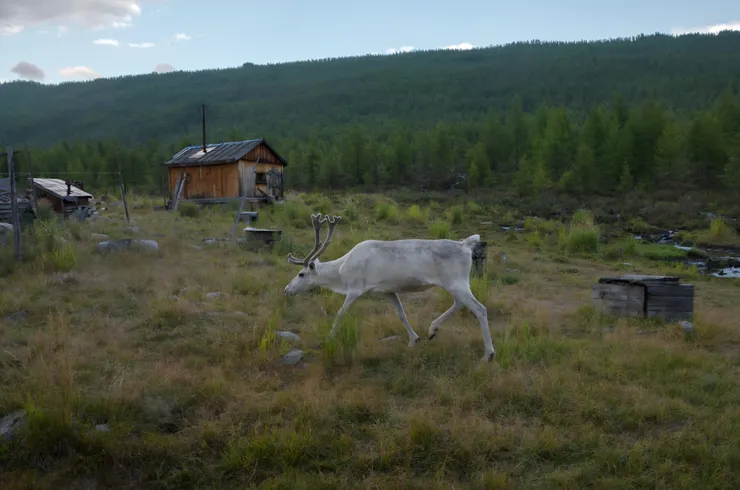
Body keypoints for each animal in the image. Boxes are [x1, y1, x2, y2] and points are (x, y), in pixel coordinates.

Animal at [283, 213, 496, 363]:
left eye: (301, 274)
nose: (286, 289)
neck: (341, 274)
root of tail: (466, 245)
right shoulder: (388, 290)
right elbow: (401, 314)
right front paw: (413, 340)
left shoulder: (355, 289)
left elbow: (340, 313)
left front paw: (327, 339)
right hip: (457, 284)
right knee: (460, 303)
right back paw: (432, 329)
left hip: (456, 282)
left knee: (480, 309)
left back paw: (488, 354)